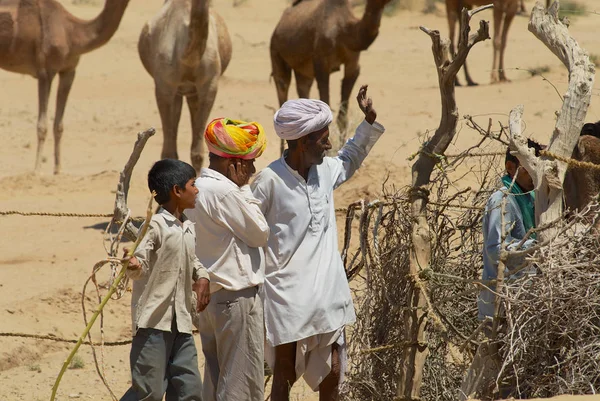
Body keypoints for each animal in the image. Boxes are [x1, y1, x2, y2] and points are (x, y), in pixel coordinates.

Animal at [0, 0, 130, 173]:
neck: (72, 34)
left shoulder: (69, 71)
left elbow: (59, 124)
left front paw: (58, 169)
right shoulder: (45, 72)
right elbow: (42, 125)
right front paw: (37, 170)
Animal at [139, 0, 232, 172]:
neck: (188, 58)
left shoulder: (209, 85)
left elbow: (198, 151)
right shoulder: (164, 87)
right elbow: (168, 152)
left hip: (192, 93)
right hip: (177, 92)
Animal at [270, 0, 392, 152]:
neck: (344, 31)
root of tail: (279, 25)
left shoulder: (353, 64)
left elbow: (342, 117)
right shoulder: (321, 64)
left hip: (303, 72)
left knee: (302, 88)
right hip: (276, 53)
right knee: (282, 88)